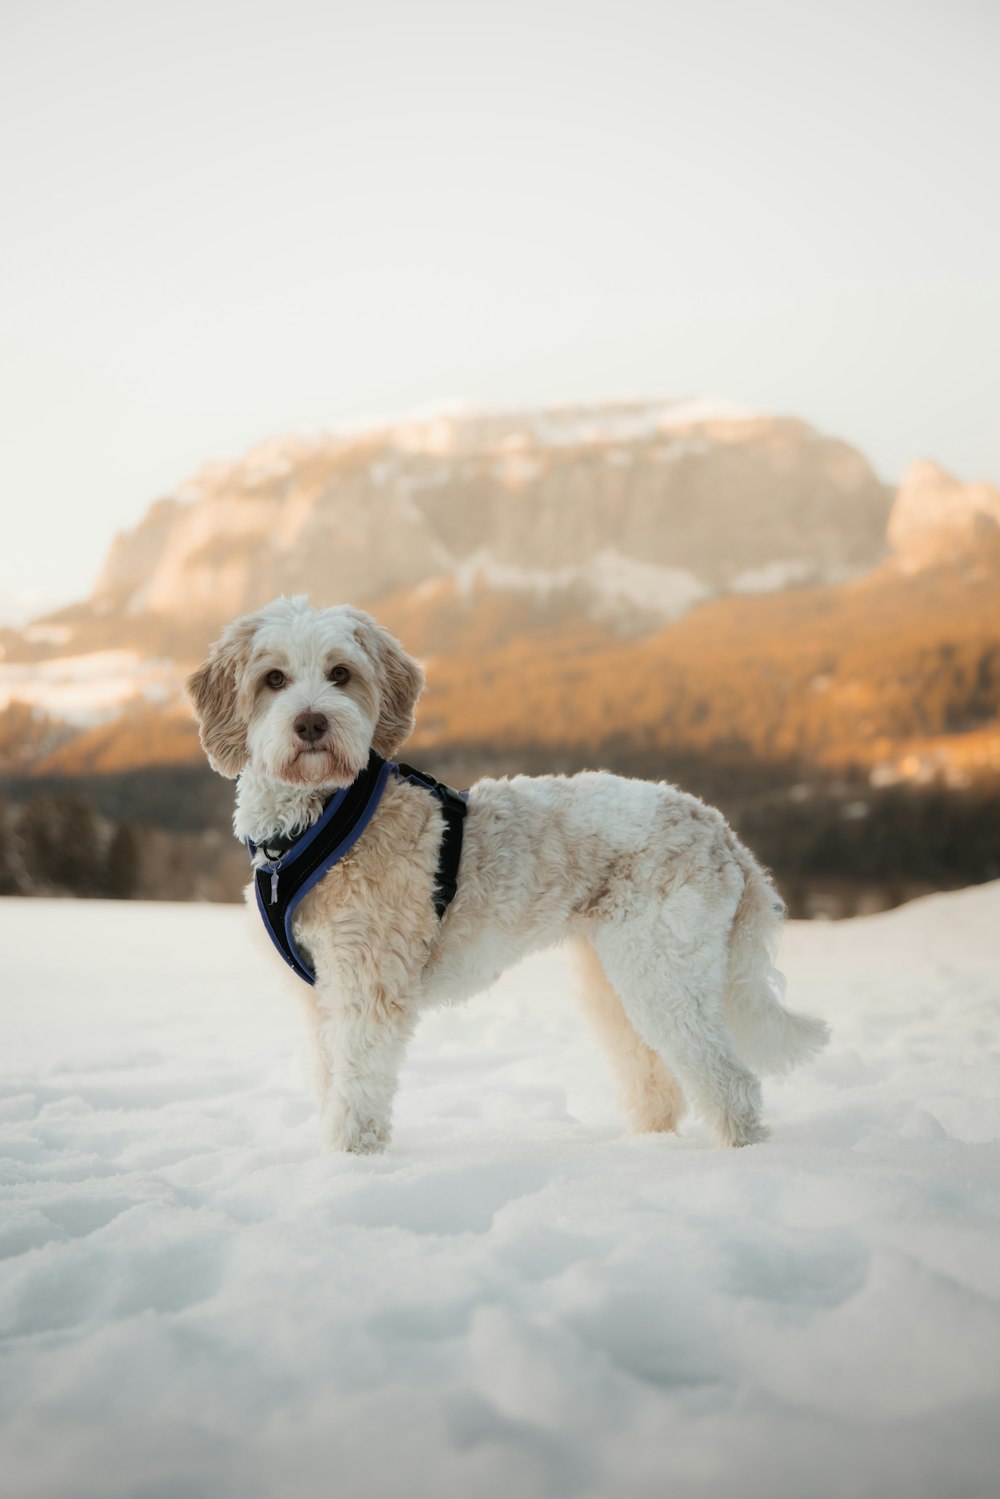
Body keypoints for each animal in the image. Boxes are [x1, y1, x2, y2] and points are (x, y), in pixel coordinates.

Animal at [187, 593, 827, 1145]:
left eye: (340, 673)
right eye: (273, 679)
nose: (312, 723)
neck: (315, 821)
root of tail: (717, 826)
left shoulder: (369, 983)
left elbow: (359, 1087)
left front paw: (352, 1160)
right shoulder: (321, 994)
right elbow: (330, 1080)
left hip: (666, 971)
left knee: (729, 1081)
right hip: (615, 979)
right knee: (657, 1081)